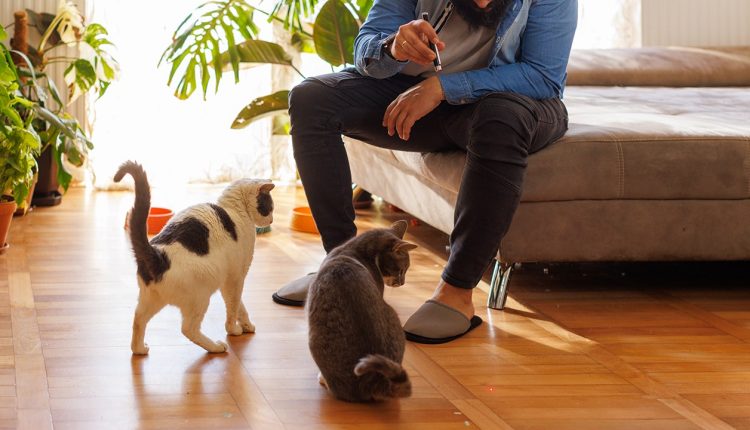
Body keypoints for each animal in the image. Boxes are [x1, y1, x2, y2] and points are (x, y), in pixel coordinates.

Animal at [114, 161, 274, 354]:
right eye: (270, 207)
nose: (272, 220)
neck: (234, 209)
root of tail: (158, 256)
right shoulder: (236, 278)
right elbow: (234, 306)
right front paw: (234, 330)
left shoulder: (228, 280)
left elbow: (240, 306)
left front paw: (247, 325)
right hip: (201, 297)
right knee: (188, 329)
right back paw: (216, 347)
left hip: (151, 299)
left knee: (138, 319)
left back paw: (139, 349)